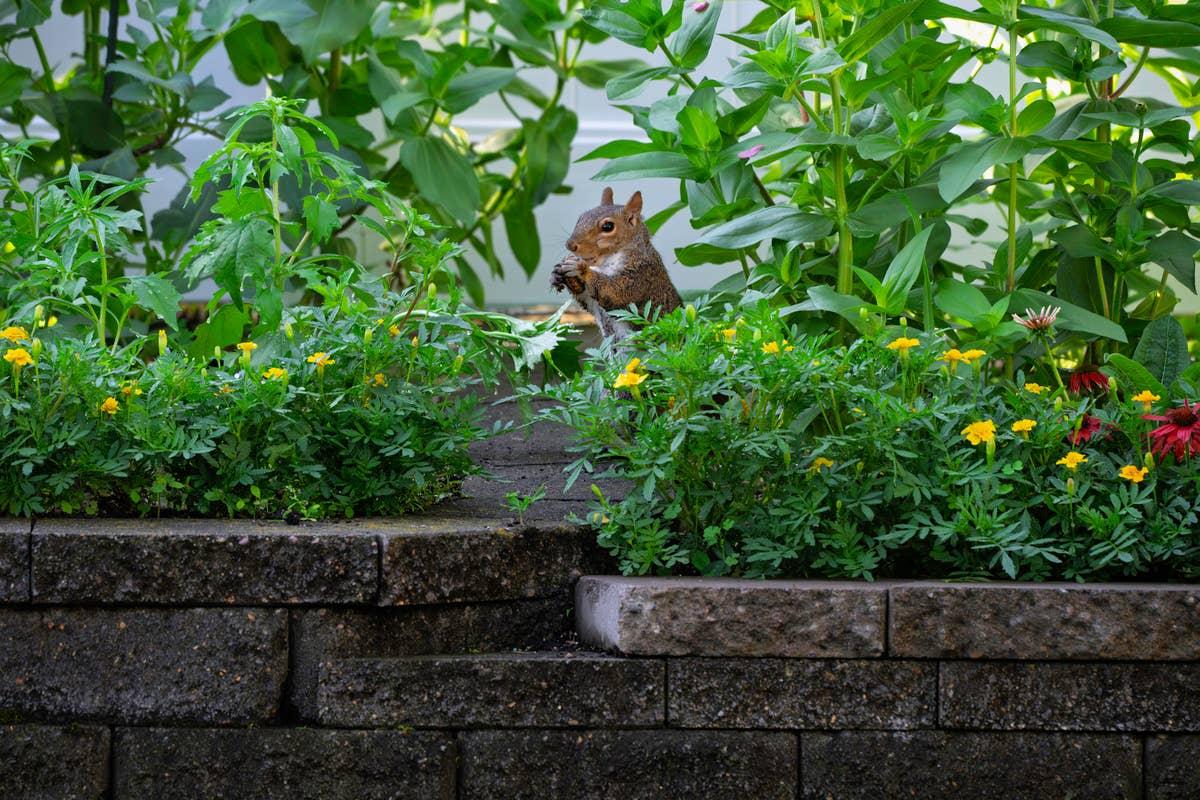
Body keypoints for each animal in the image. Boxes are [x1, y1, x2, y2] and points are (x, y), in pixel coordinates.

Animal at [550, 187, 682, 339]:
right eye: (580, 218)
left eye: (608, 226)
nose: (570, 245)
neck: (604, 263)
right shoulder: (592, 302)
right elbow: (587, 299)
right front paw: (555, 273)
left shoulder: (642, 275)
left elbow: (615, 291)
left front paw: (582, 270)